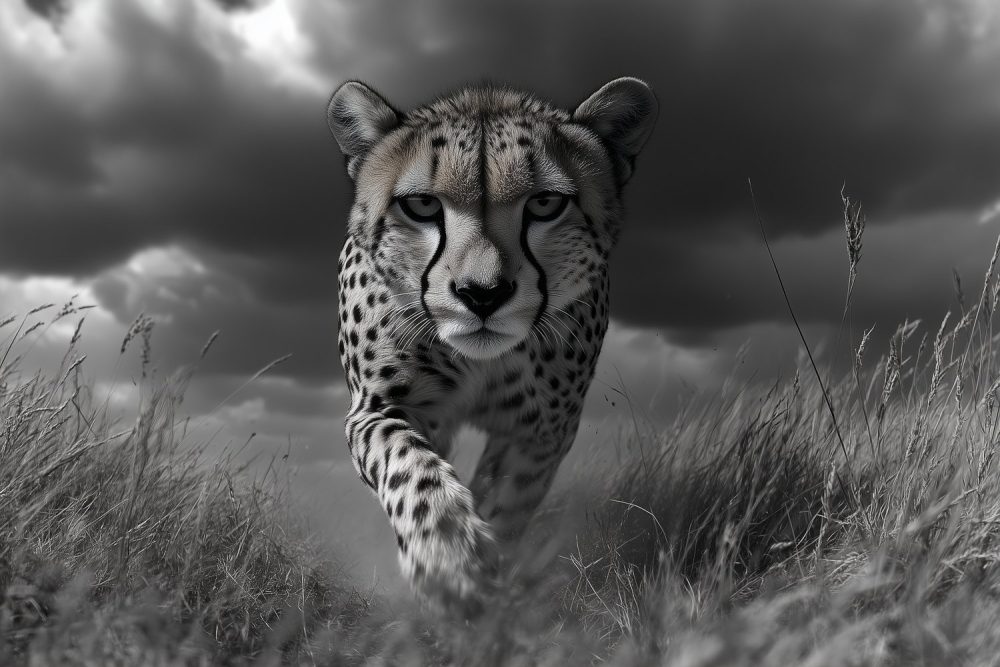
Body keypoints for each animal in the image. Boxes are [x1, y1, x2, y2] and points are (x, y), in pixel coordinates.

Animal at [326, 77, 657, 608]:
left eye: (545, 204)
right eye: (422, 205)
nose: (482, 294)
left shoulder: (541, 429)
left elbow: (507, 500)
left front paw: (488, 579)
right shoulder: (380, 406)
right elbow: (409, 463)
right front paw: (446, 554)